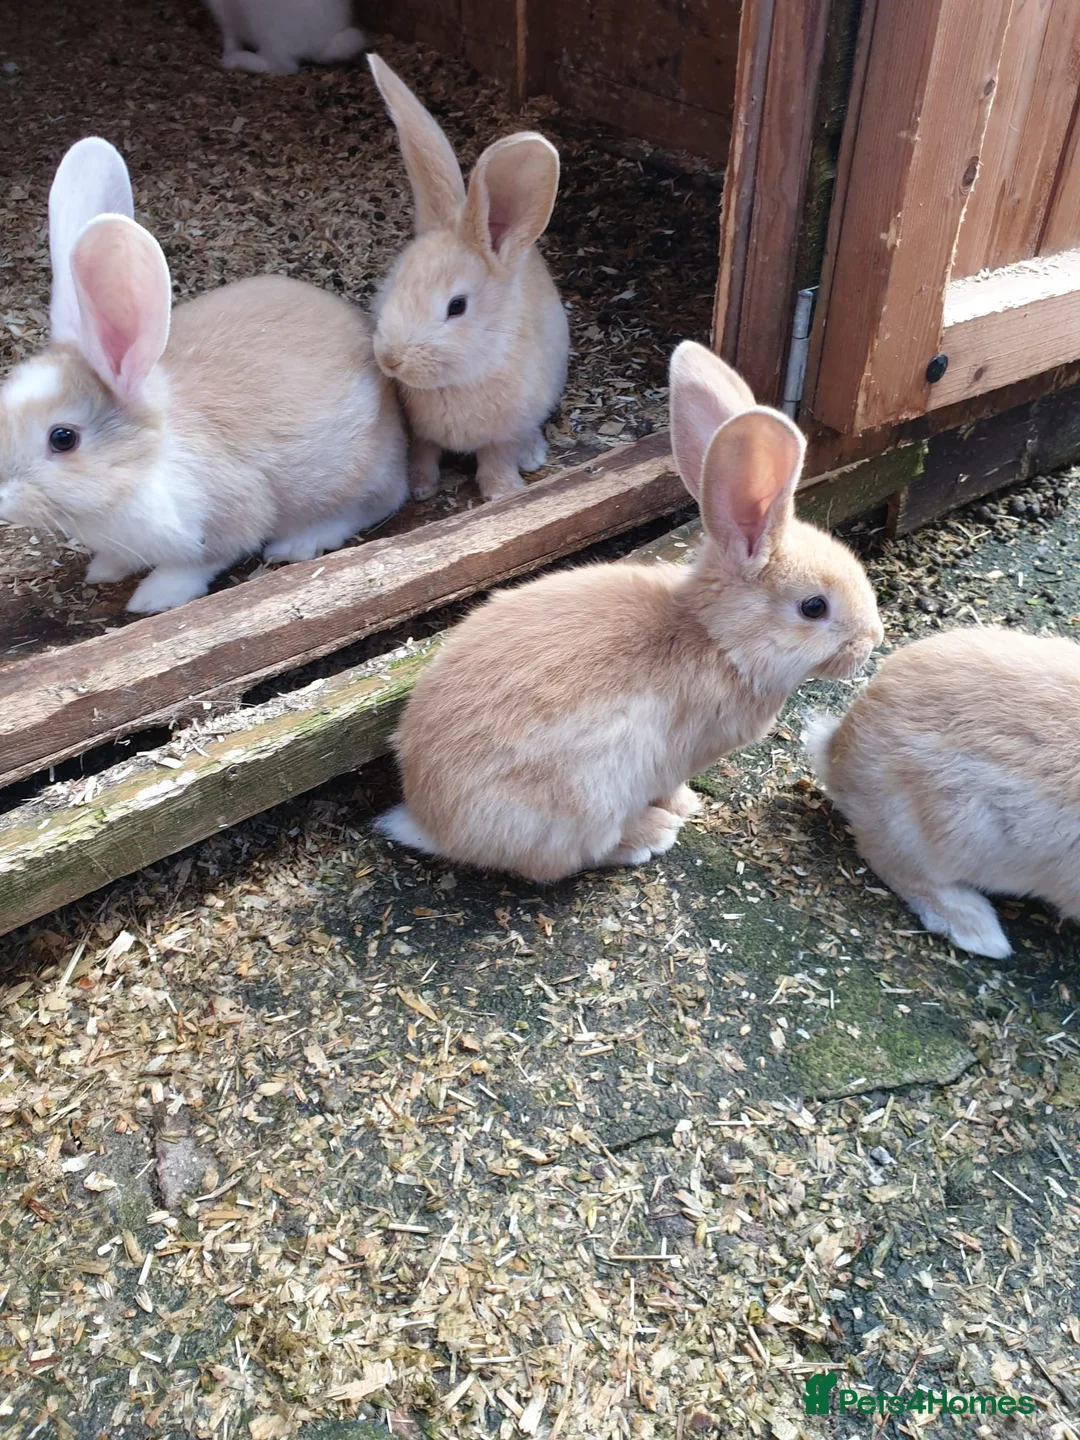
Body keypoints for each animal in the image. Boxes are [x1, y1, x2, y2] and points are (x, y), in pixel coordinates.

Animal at [0, 137, 408, 615]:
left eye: (63, 438)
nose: (1, 496)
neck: (144, 463)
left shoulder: (228, 516)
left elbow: (200, 562)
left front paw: (152, 598)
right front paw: (103, 570)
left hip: (354, 475)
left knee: (373, 504)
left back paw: (297, 543)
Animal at [203, 0, 365, 75]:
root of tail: (322, 44)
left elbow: (229, 34)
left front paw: (228, 53)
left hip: (266, 30)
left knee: (281, 66)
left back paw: (233, 60)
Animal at [366, 54, 570, 503]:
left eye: (456, 306)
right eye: (395, 283)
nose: (390, 360)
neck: (458, 379)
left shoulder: (504, 432)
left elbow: (497, 456)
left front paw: (502, 492)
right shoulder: (422, 433)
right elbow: (424, 452)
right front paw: (420, 487)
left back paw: (532, 455)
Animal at [375, 341, 884, 882]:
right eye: (814, 607)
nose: (873, 639)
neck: (719, 640)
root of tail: (432, 825)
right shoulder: (677, 759)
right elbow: (671, 786)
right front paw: (686, 807)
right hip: (586, 799)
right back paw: (651, 835)